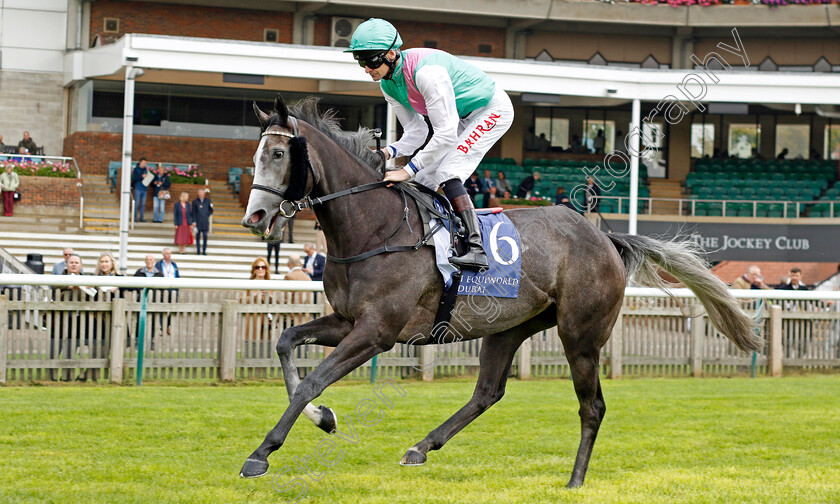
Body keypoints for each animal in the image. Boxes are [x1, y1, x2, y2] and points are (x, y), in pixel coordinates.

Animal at [238, 95, 760, 488]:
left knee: (591, 406)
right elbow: (286, 343)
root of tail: (605, 239)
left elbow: (313, 380)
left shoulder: (377, 331)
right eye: (255, 156)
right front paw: (323, 418)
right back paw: (420, 447)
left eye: (278, 155)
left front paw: (262, 453)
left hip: (580, 334)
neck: (376, 228)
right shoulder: (348, 320)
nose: (255, 218)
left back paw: (575, 480)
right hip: (509, 326)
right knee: (488, 392)